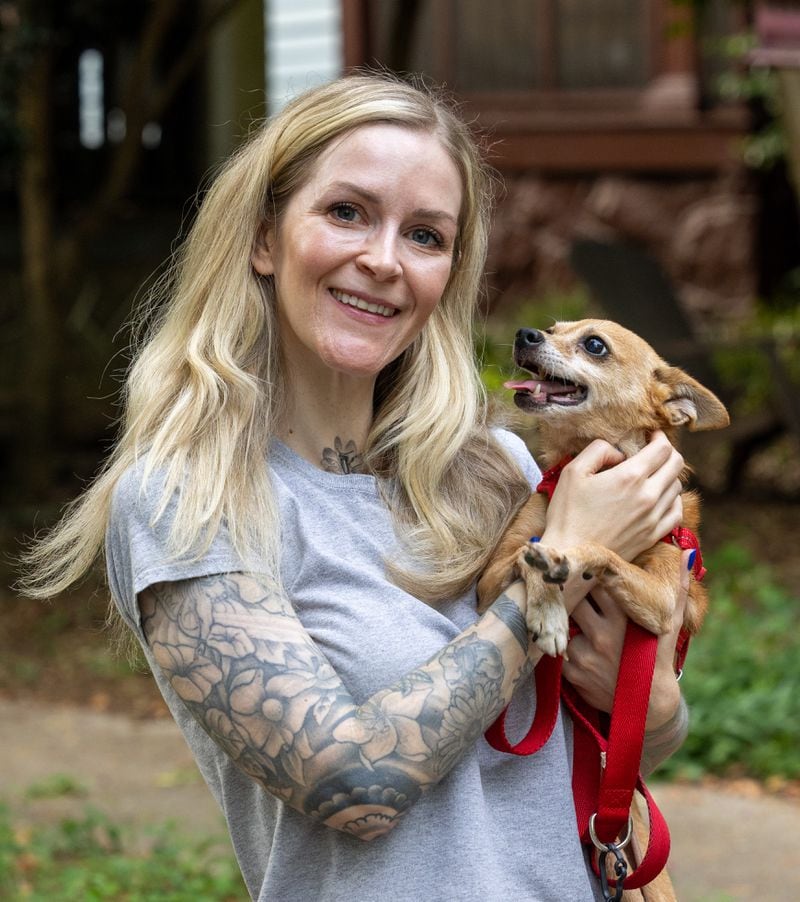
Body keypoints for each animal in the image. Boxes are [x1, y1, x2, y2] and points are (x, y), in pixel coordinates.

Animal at [476, 320, 732, 656]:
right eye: (552, 329)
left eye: (595, 345)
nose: (525, 334)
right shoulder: (488, 583)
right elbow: (522, 553)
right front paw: (549, 611)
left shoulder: (665, 601)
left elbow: (600, 551)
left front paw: (564, 559)